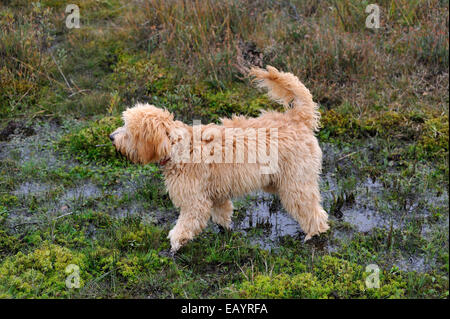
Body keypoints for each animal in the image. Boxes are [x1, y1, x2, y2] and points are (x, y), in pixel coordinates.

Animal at [110, 66, 328, 254]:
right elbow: (222, 212)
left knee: (312, 210)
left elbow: (186, 224)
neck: (178, 146)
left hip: (295, 183)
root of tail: (297, 117)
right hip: (278, 181)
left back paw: (313, 233)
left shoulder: (194, 201)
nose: (111, 137)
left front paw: (175, 243)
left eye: (128, 130)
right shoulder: (216, 193)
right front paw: (225, 229)